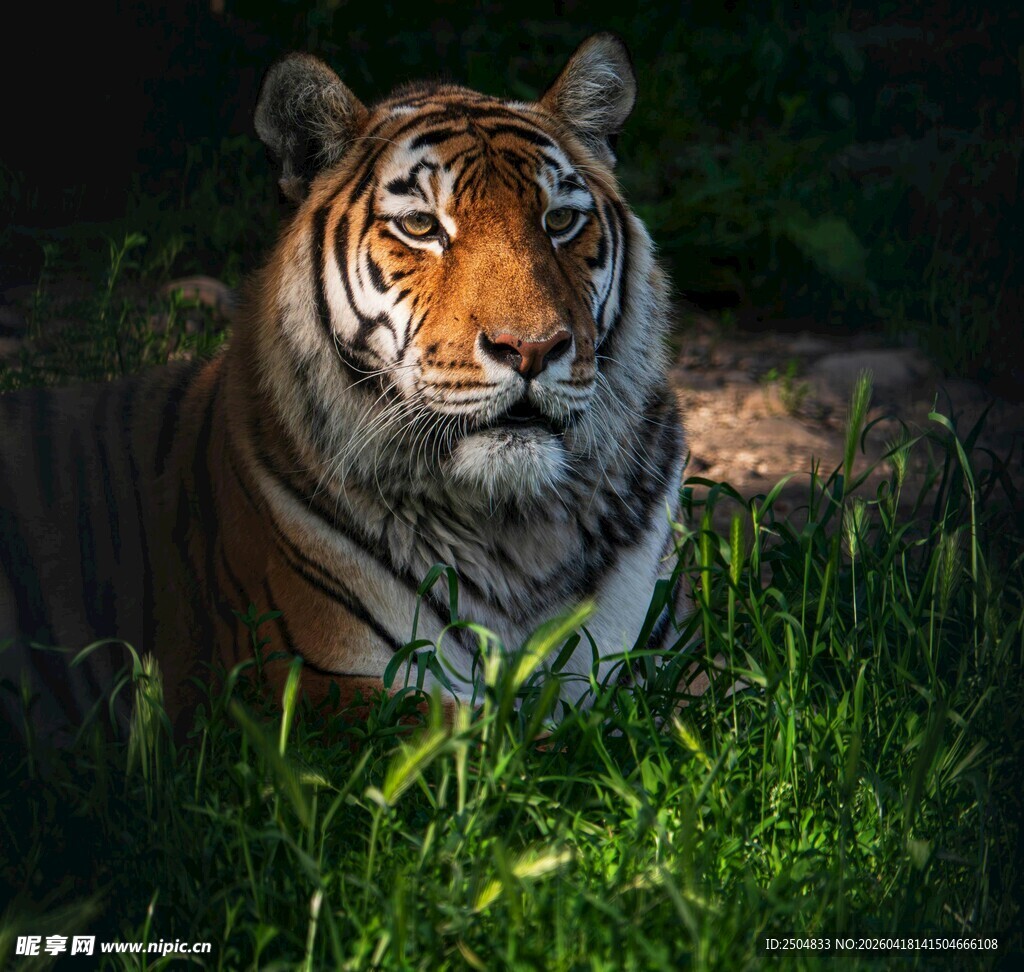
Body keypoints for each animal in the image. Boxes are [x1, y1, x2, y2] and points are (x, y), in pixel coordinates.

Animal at [0, 33, 687, 742]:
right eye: (421, 226)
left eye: (559, 221)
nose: (531, 348)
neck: (515, 533)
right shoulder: (295, 685)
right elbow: (509, 740)